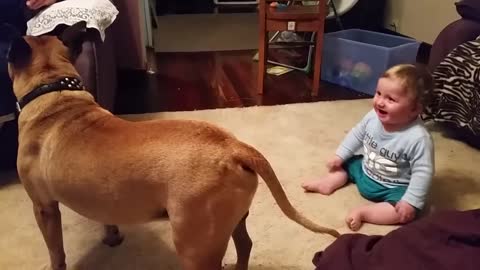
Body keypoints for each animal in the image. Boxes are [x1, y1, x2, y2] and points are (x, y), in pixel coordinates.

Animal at [5, 23, 340, 270]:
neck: (55, 91)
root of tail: (234, 146)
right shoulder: (97, 197)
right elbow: (104, 216)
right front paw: (111, 236)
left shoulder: (44, 207)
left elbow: (56, 251)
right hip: (232, 220)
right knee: (245, 244)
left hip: (194, 245)